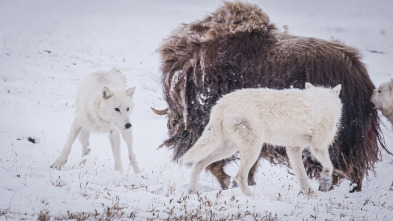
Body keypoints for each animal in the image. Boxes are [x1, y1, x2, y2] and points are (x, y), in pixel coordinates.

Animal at [182, 83, 342, 197]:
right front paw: (325, 181)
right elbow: (329, 166)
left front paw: (310, 194)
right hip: (252, 150)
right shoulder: (318, 146)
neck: (324, 103)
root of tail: (221, 104)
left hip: (227, 150)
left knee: (198, 164)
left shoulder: (293, 148)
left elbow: (302, 176)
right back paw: (253, 197)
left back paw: (192, 192)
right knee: (239, 176)